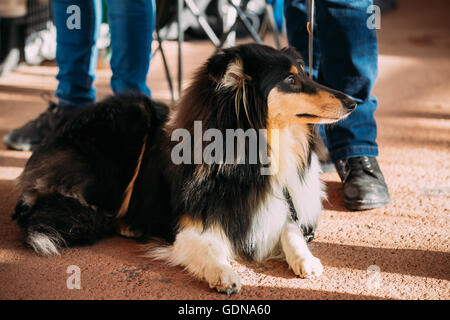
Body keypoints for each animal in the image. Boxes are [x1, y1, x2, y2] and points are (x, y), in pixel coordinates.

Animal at [13, 43, 356, 294]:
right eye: (290, 80)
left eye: (305, 75)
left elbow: (290, 229)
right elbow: (207, 250)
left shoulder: (282, 203)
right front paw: (224, 274)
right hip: (131, 121)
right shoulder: (188, 227)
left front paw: (307, 259)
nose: (353, 102)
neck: (254, 154)